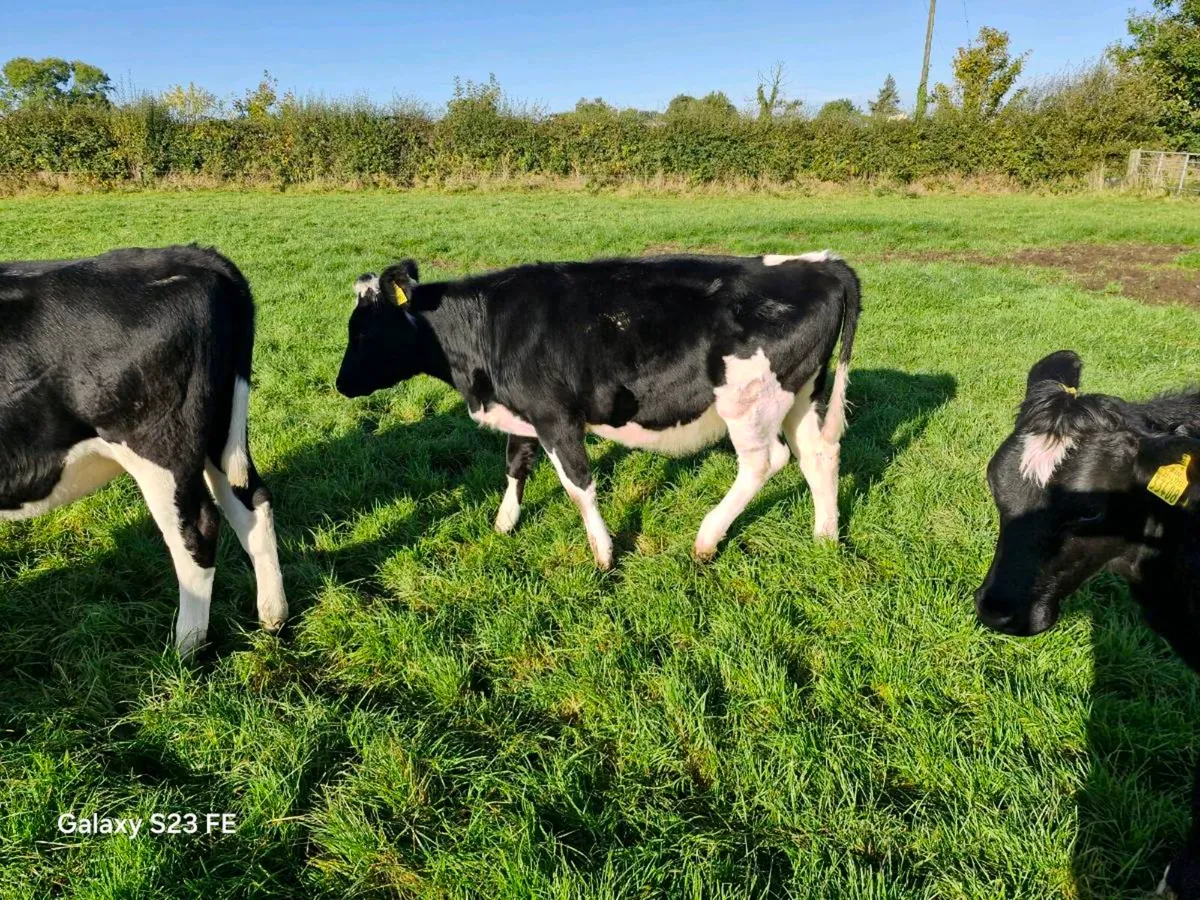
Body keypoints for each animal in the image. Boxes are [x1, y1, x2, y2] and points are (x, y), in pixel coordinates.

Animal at [0, 246, 287, 657]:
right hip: (222, 432)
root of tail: (199, 259)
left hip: (160, 448)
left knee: (196, 531)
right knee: (251, 504)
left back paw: (183, 651)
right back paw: (272, 617)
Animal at [335, 251, 860, 566]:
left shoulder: (556, 416)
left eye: (362, 330)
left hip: (749, 401)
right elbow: (515, 464)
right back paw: (825, 536)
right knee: (818, 454)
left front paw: (603, 554)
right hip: (802, 394)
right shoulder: (525, 411)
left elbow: (578, 486)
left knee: (765, 461)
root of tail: (820, 263)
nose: (340, 384)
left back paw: (707, 538)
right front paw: (505, 523)